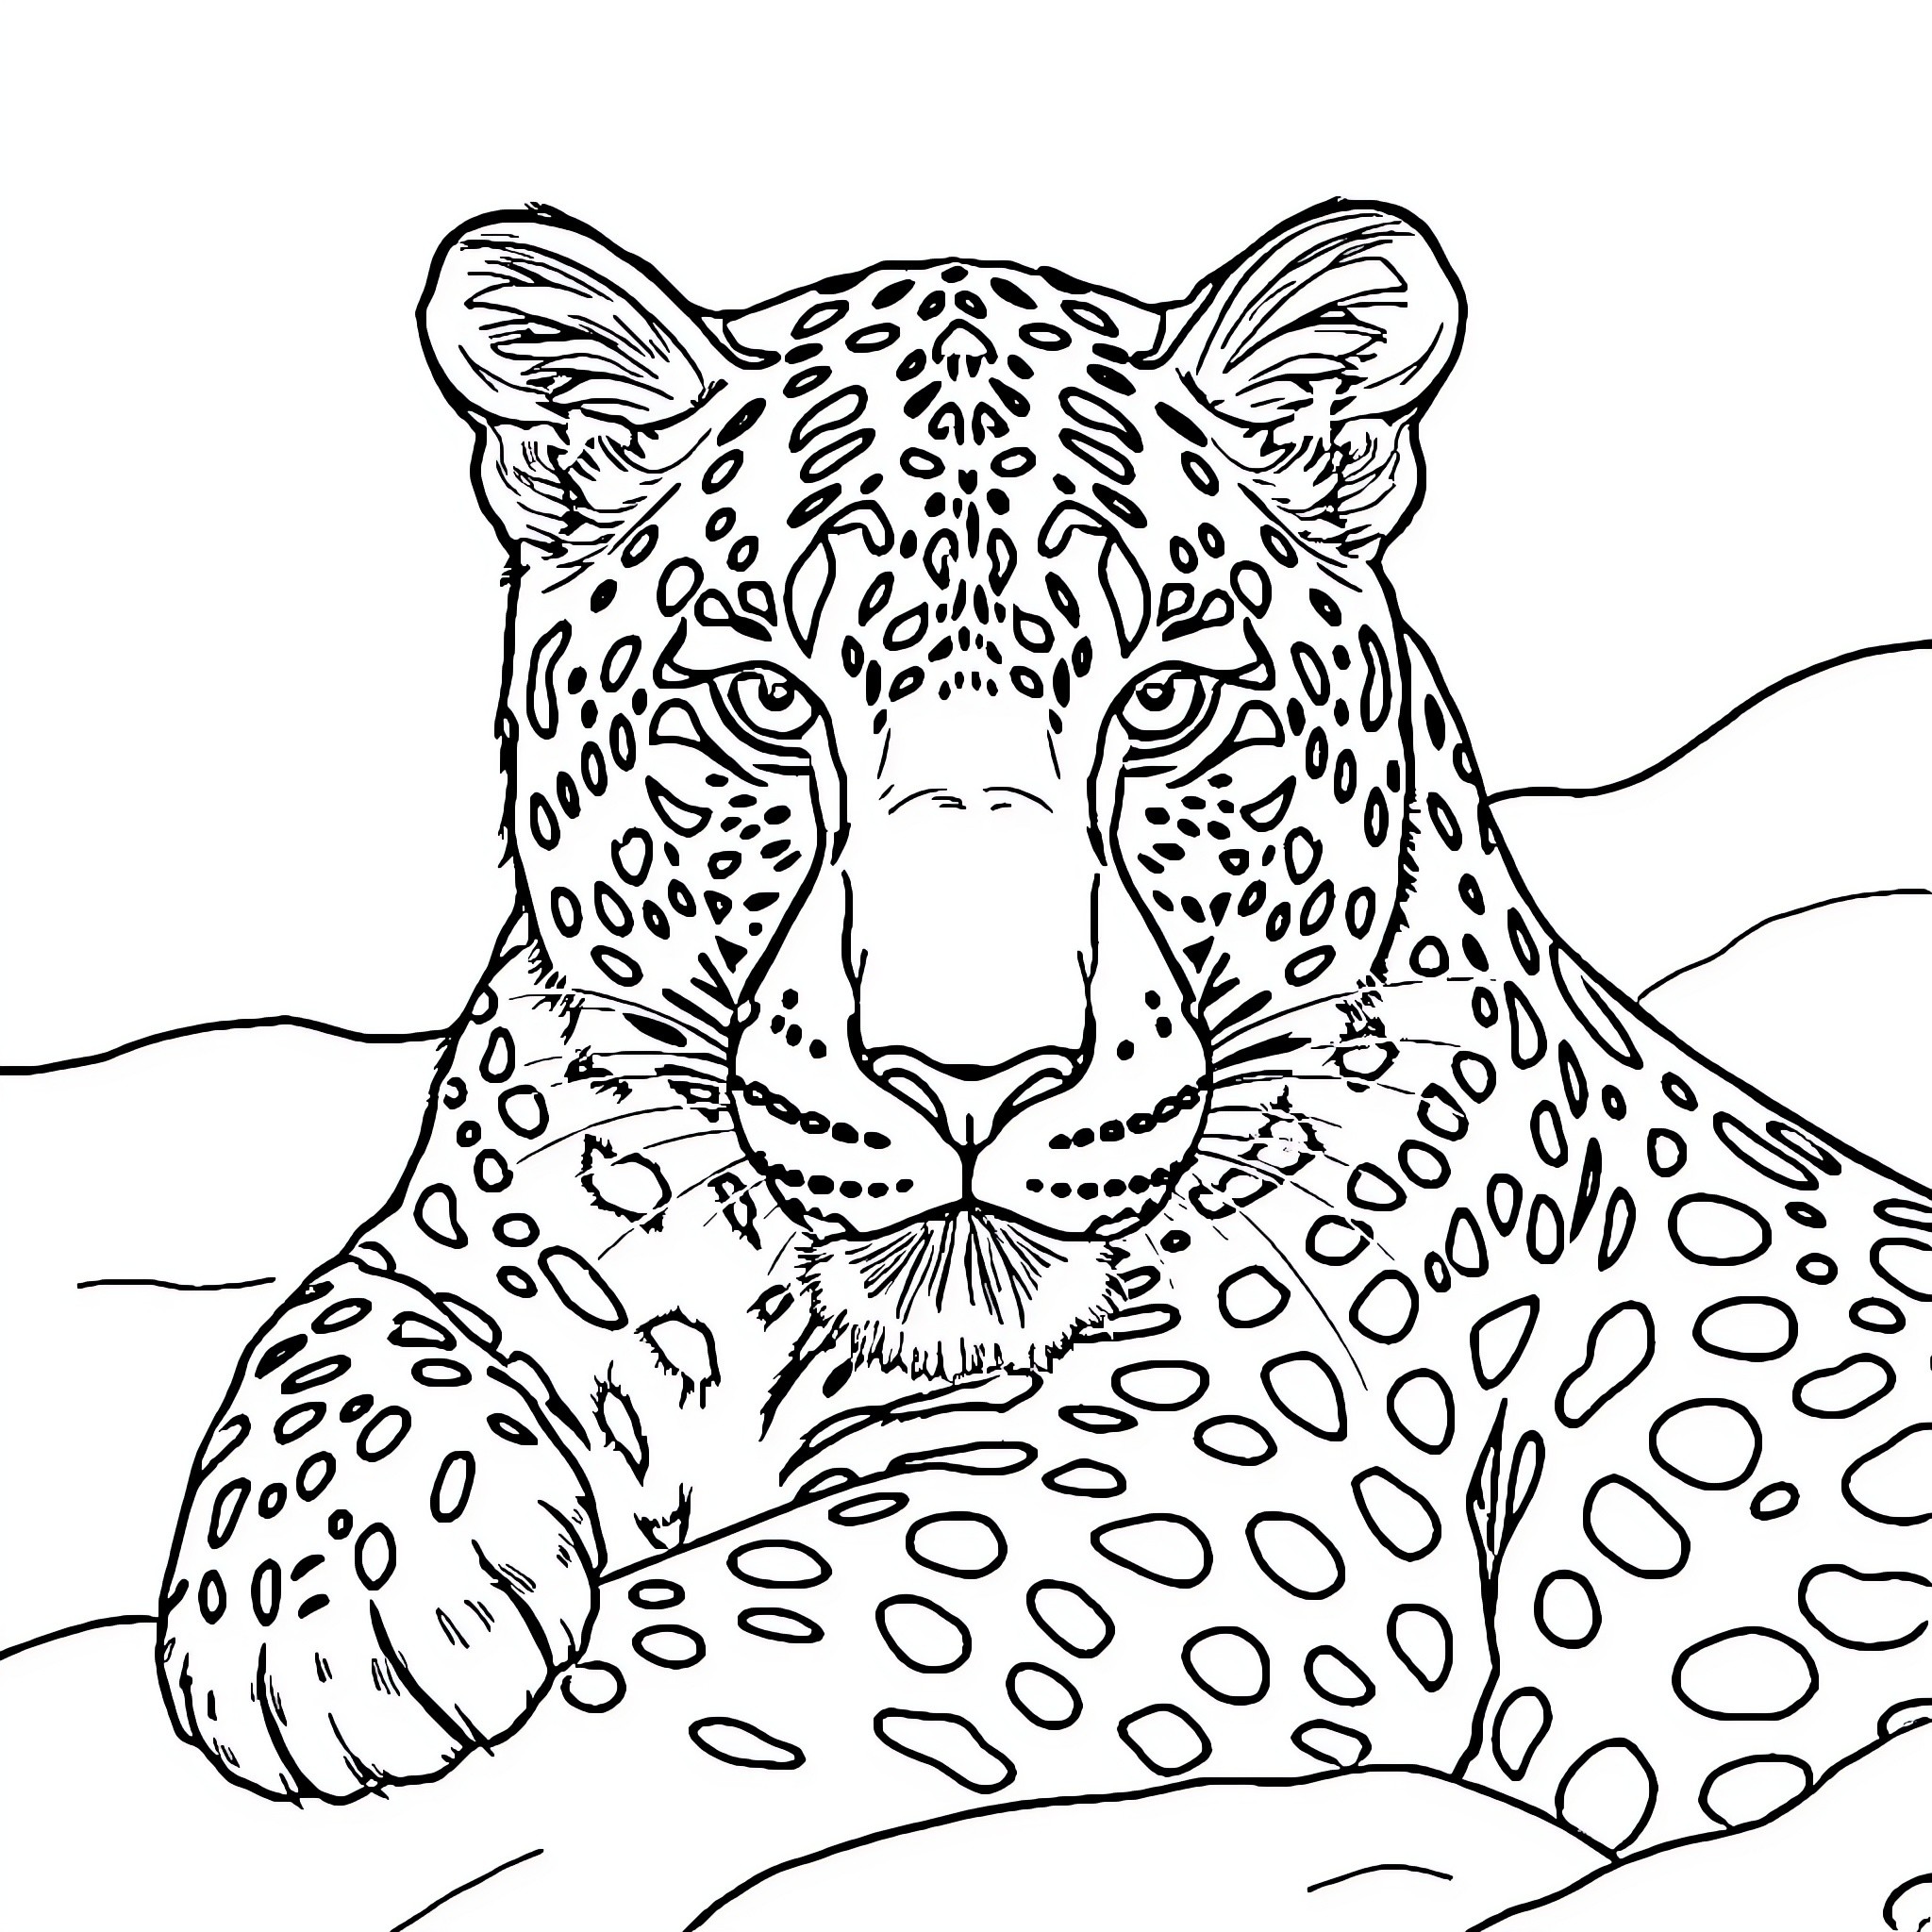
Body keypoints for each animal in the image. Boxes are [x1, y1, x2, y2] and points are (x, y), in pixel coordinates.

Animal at [157, 199, 1932, 1882]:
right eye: (764, 702)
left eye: (1163, 704)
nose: (970, 1077)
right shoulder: (483, 1230)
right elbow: (335, 1329)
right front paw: (326, 1620)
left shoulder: (1197, 1492)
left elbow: (712, 1646)